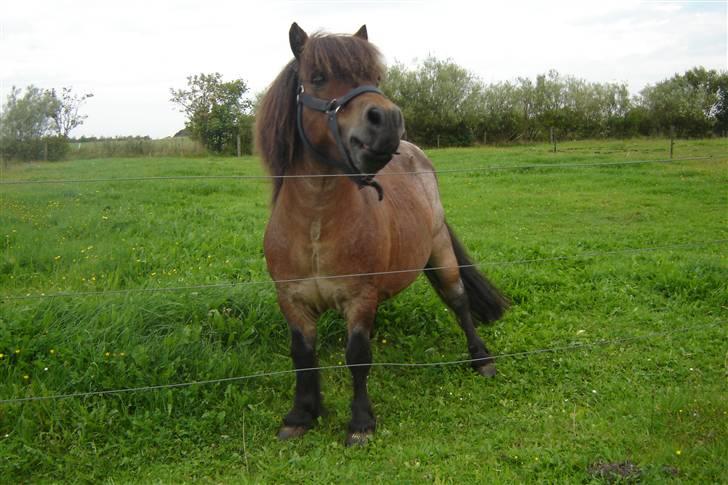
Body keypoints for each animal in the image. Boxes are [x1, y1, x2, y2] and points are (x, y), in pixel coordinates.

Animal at [255, 23, 506, 446]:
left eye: (375, 77)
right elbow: (302, 356)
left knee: (458, 301)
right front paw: (301, 414)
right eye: (317, 77)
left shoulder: (360, 298)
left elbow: (358, 356)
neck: (315, 226)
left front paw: (360, 423)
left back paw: (481, 359)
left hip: (440, 252)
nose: (387, 120)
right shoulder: (292, 301)